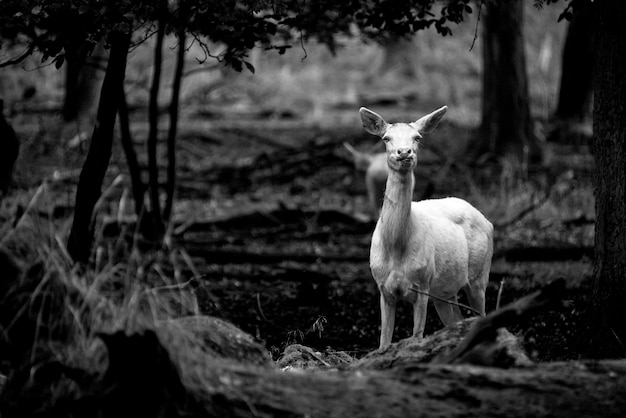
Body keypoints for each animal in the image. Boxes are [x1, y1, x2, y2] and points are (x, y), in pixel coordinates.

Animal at [360, 106, 492, 348]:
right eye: (386, 138)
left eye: (417, 137)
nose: (404, 152)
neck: (396, 248)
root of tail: (488, 221)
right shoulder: (382, 287)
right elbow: (384, 341)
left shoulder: (423, 283)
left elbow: (417, 335)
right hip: (446, 291)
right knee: (456, 321)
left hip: (479, 275)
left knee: (482, 314)